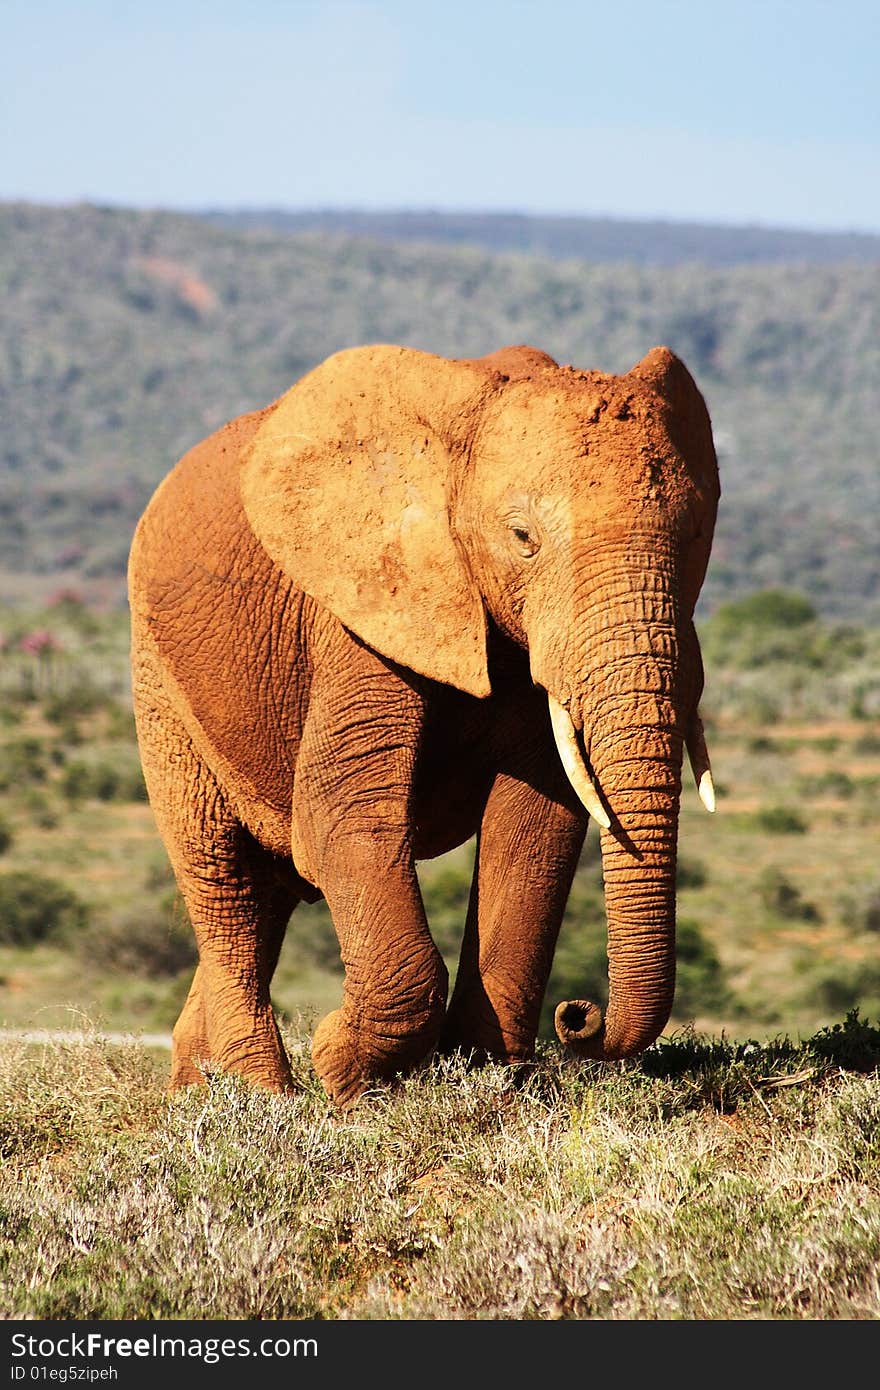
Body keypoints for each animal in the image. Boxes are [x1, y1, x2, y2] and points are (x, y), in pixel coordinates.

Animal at [132, 339, 722, 1106]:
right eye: (523, 537)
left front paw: (486, 1076)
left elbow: (533, 824)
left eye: (699, 534)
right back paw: (256, 1093)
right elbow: (341, 812)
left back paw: (192, 1086)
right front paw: (344, 1071)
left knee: (267, 896)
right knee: (220, 873)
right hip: (159, 678)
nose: (578, 1018)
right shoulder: (361, 609)